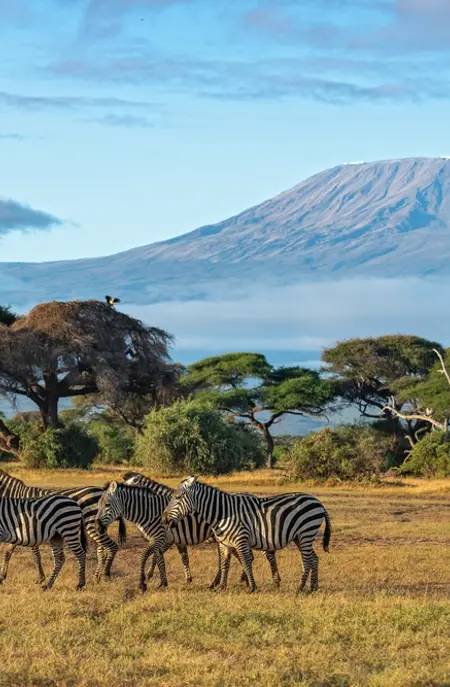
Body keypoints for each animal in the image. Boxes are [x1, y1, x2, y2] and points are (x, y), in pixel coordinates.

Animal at [122, 471, 281, 589]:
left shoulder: (168, 538)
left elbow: (158, 555)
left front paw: (151, 576)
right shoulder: (176, 539)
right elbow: (182, 557)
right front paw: (186, 578)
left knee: (268, 553)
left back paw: (275, 580)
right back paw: (238, 580)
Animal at [162, 476, 331, 593]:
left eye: (177, 498)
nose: (163, 519)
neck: (222, 513)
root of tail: (318, 502)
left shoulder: (241, 539)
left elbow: (246, 561)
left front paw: (252, 587)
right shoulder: (225, 543)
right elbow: (225, 563)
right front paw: (222, 587)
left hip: (306, 532)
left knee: (307, 560)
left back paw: (300, 588)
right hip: (300, 537)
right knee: (314, 558)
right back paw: (313, 587)